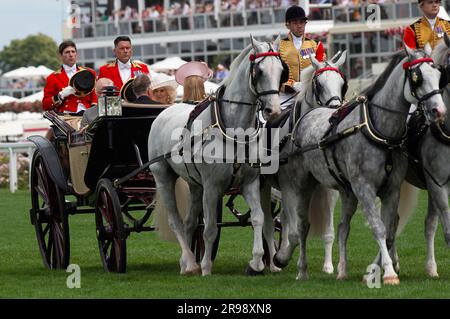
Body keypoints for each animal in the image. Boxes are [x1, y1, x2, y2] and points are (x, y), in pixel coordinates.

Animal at [148, 37, 284, 276]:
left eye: (281, 70)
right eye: (258, 71)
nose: (273, 111)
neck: (234, 132)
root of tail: (164, 112)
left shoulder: (250, 182)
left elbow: (258, 218)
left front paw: (257, 262)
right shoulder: (212, 187)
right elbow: (210, 228)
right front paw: (206, 267)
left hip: (194, 184)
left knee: (189, 222)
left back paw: (186, 263)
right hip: (163, 177)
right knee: (176, 221)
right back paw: (191, 262)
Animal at [272, 43, 444, 284]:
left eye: (438, 74)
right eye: (417, 78)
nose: (438, 110)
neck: (380, 130)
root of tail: (307, 116)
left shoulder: (391, 189)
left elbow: (389, 229)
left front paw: (381, 269)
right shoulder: (364, 188)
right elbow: (379, 228)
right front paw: (389, 273)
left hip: (344, 191)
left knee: (342, 227)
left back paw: (341, 270)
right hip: (302, 185)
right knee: (302, 226)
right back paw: (299, 268)